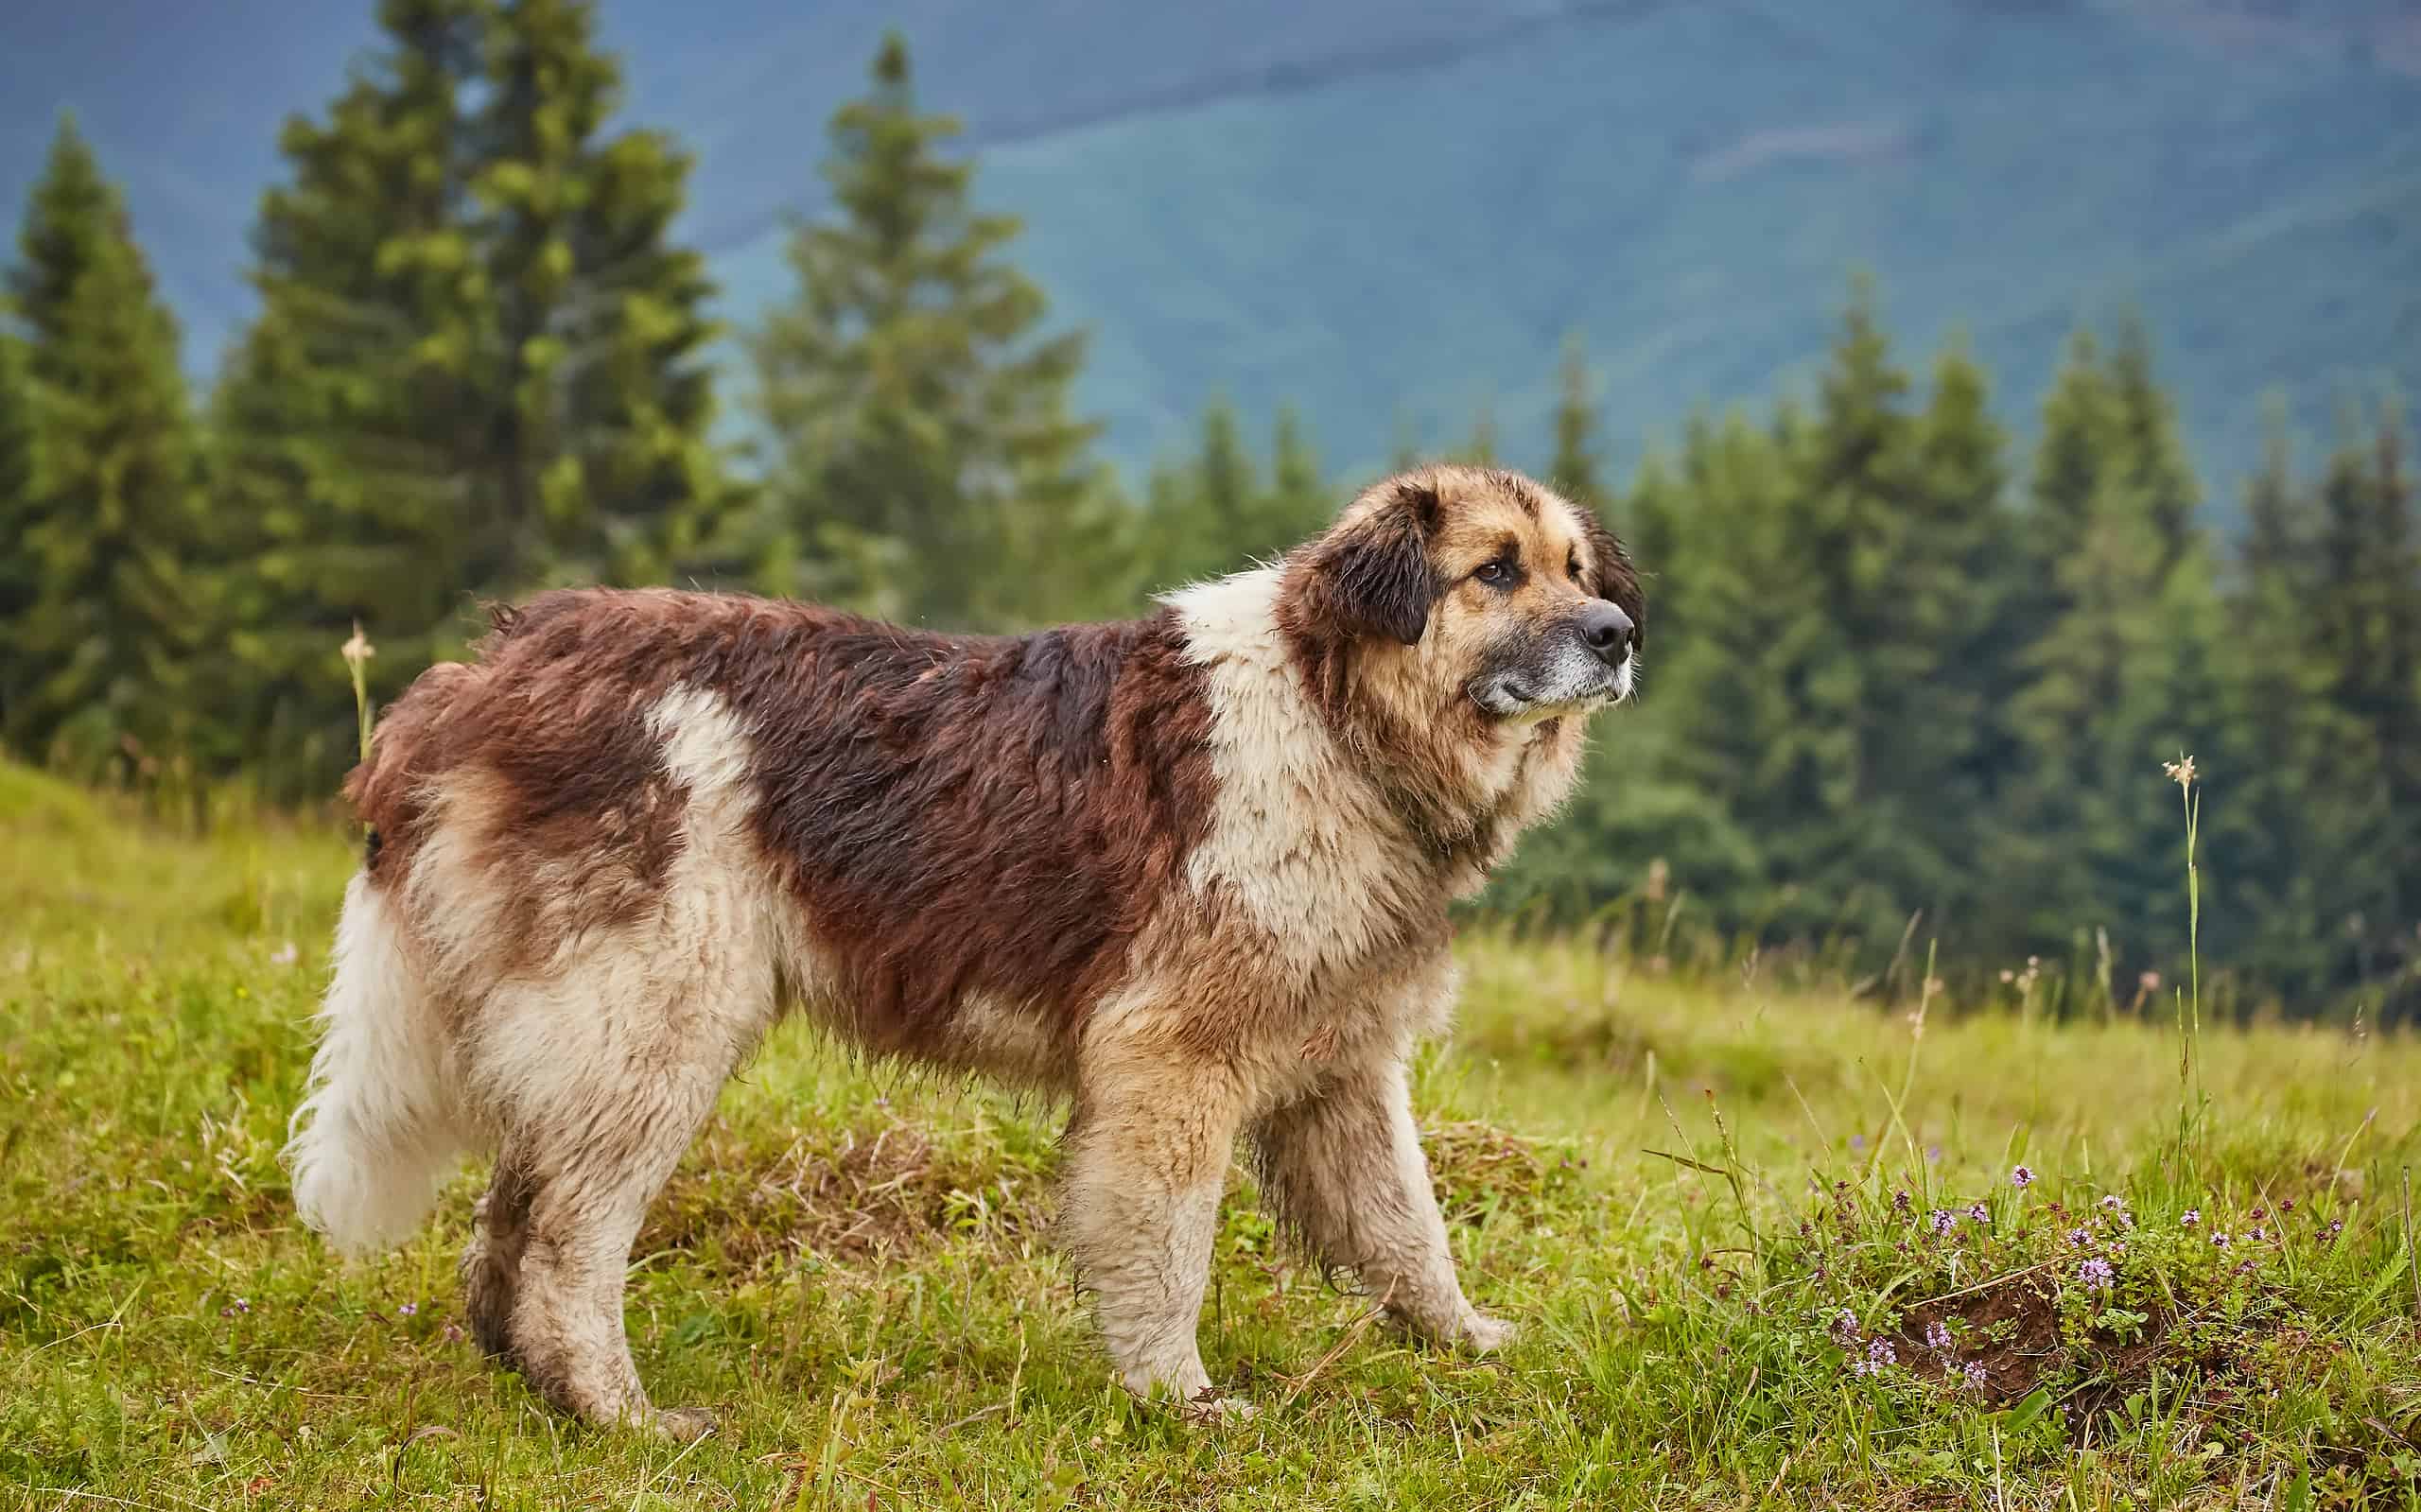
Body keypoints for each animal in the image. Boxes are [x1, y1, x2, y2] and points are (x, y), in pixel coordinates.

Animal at [287, 466, 1646, 1432]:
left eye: (1577, 569)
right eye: (1493, 572)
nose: (1617, 633)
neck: (1335, 716)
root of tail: (486, 664)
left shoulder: (1344, 1066)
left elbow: (1406, 1228)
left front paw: (1469, 1343)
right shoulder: (1170, 1062)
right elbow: (1168, 1247)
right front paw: (1179, 1398)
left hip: (599, 1032)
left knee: (512, 1219)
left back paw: (539, 1392)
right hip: (655, 1024)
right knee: (570, 1238)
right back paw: (618, 1415)